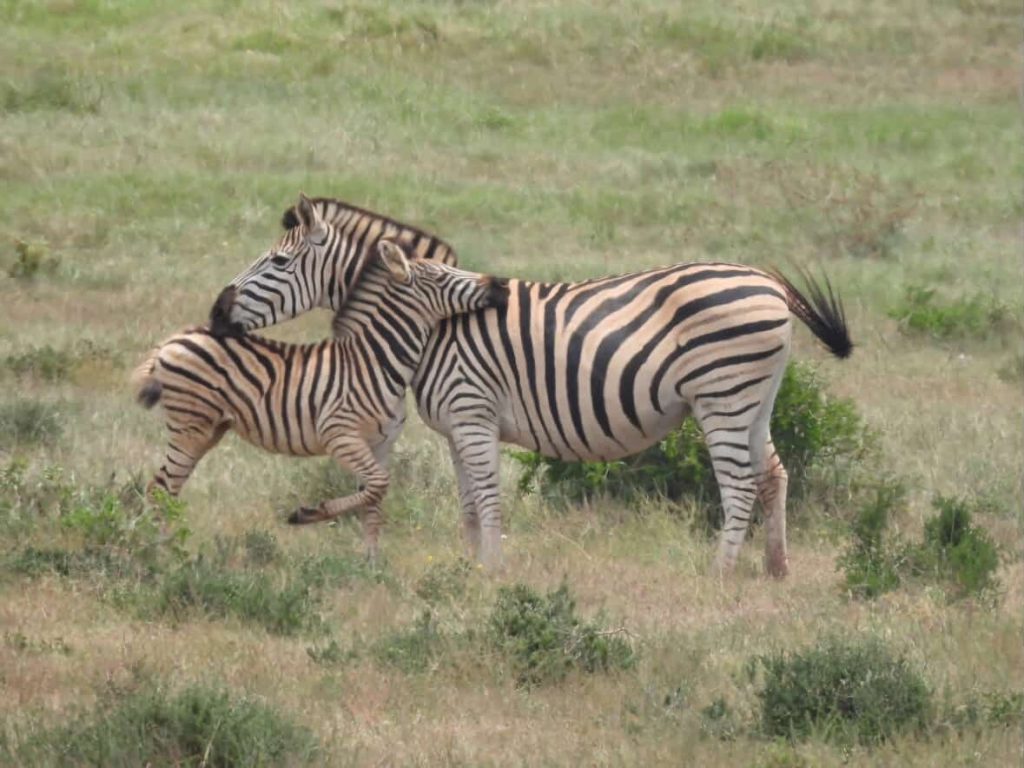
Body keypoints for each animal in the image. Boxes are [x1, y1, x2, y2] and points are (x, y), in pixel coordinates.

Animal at [133, 239, 507, 559]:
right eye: (442, 277)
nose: (501, 286)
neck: (377, 360)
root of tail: (170, 341)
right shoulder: (339, 434)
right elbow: (378, 485)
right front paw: (309, 513)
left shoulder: (382, 442)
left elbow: (375, 499)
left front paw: (372, 564)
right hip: (190, 427)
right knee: (159, 489)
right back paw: (161, 555)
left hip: (208, 430)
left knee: (166, 489)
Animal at [213, 196, 852, 577]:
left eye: (276, 263)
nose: (217, 312)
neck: (433, 324)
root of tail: (765, 279)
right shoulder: (455, 427)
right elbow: (468, 504)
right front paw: (470, 566)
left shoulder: (473, 413)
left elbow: (488, 498)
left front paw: (492, 572)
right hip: (755, 399)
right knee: (774, 474)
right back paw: (775, 568)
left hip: (721, 395)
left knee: (739, 484)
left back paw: (720, 573)